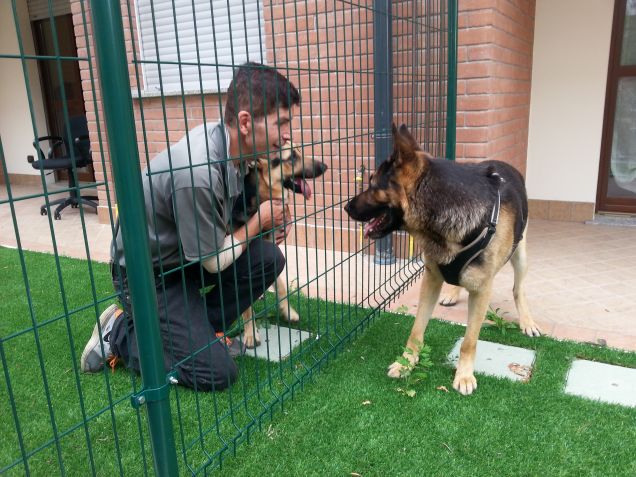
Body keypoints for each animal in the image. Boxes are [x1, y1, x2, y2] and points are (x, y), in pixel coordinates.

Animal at [234, 143, 328, 348]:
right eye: (291, 157)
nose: (324, 167)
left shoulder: (270, 250)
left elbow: (282, 286)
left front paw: (288, 311)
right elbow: (246, 306)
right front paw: (250, 333)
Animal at [346, 123, 540, 394]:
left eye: (373, 184)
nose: (346, 207)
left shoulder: (482, 291)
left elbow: (469, 341)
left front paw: (464, 375)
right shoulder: (431, 280)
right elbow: (416, 331)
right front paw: (406, 362)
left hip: (520, 256)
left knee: (518, 289)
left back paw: (526, 320)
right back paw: (453, 293)